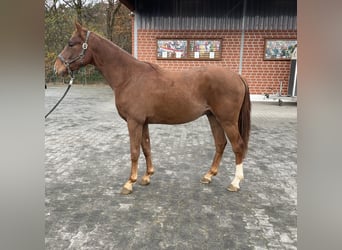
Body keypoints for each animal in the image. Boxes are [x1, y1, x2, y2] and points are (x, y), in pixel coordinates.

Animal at [54, 23, 251, 195]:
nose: (57, 67)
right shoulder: (144, 122)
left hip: (227, 120)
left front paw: (129, 183)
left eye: (71, 43)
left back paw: (235, 182)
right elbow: (146, 147)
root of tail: (237, 76)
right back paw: (208, 176)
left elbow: (134, 151)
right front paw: (147, 177)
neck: (129, 77)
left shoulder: (134, 122)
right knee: (220, 143)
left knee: (237, 145)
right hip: (213, 117)